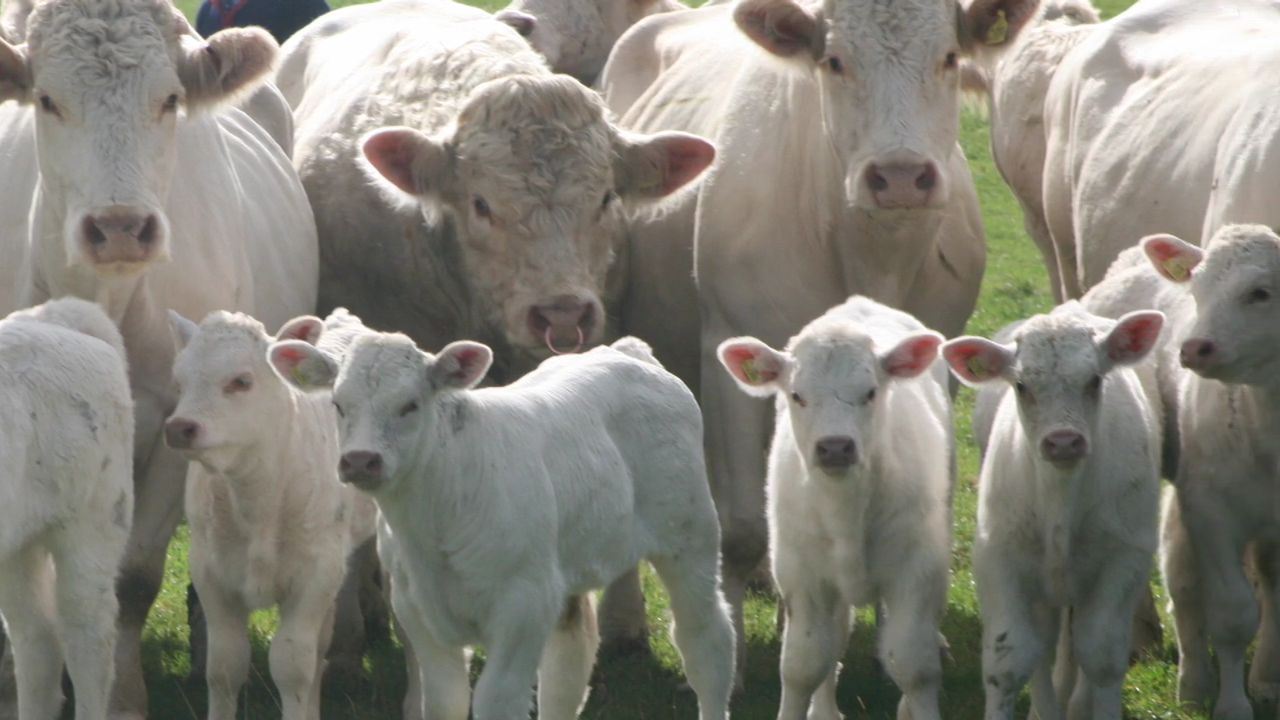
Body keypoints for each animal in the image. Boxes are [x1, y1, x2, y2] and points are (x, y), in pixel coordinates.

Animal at [164, 310, 376, 720]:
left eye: (241, 381)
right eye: (179, 381)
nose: (179, 428)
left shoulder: (315, 574)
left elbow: (293, 667)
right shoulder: (210, 572)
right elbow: (225, 666)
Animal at [269, 327, 735, 720]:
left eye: (410, 405)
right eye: (338, 404)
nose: (360, 459)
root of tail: (626, 353)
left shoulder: (522, 603)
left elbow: (497, 700)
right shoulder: (416, 607)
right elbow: (445, 701)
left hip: (690, 538)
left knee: (706, 645)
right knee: (568, 667)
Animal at [718, 296, 952, 720]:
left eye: (871, 392)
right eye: (797, 395)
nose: (835, 447)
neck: (847, 510)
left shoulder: (916, 569)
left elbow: (914, 664)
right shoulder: (802, 574)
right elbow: (804, 662)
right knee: (835, 638)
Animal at [942, 303, 1164, 720]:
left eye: (1094, 380)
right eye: (1021, 385)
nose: (1063, 442)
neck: (1061, 497)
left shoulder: (1125, 558)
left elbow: (1103, 654)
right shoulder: (997, 557)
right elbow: (1009, 659)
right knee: (1044, 645)